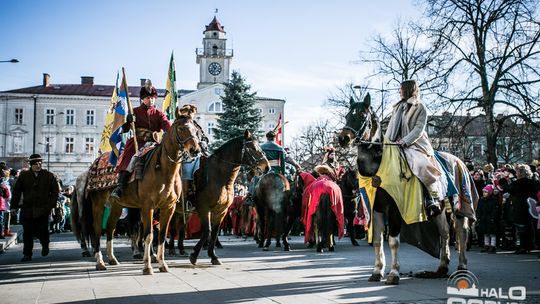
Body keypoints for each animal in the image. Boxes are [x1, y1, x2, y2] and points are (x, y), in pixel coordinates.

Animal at [83, 111, 201, 274]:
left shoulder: (168, 207)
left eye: (196, 130)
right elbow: (148, 236)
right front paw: (147, 266)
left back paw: (112, 259)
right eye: (181, 128)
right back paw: (100, 262)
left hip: (117, 205)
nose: (195, 150)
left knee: (111, 228)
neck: (164, 170)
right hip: (98, 204)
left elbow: (162, 235)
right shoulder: (147, 206)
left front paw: (162, 264)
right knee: (97, 230)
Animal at [188, 131, 270, 266]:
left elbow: (214, 232)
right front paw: (194, 255)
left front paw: (213, 256)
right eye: (253, 148)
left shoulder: (221, 210)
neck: (218, 176)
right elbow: (207, 230)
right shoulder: (204, 208)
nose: (267, 167)